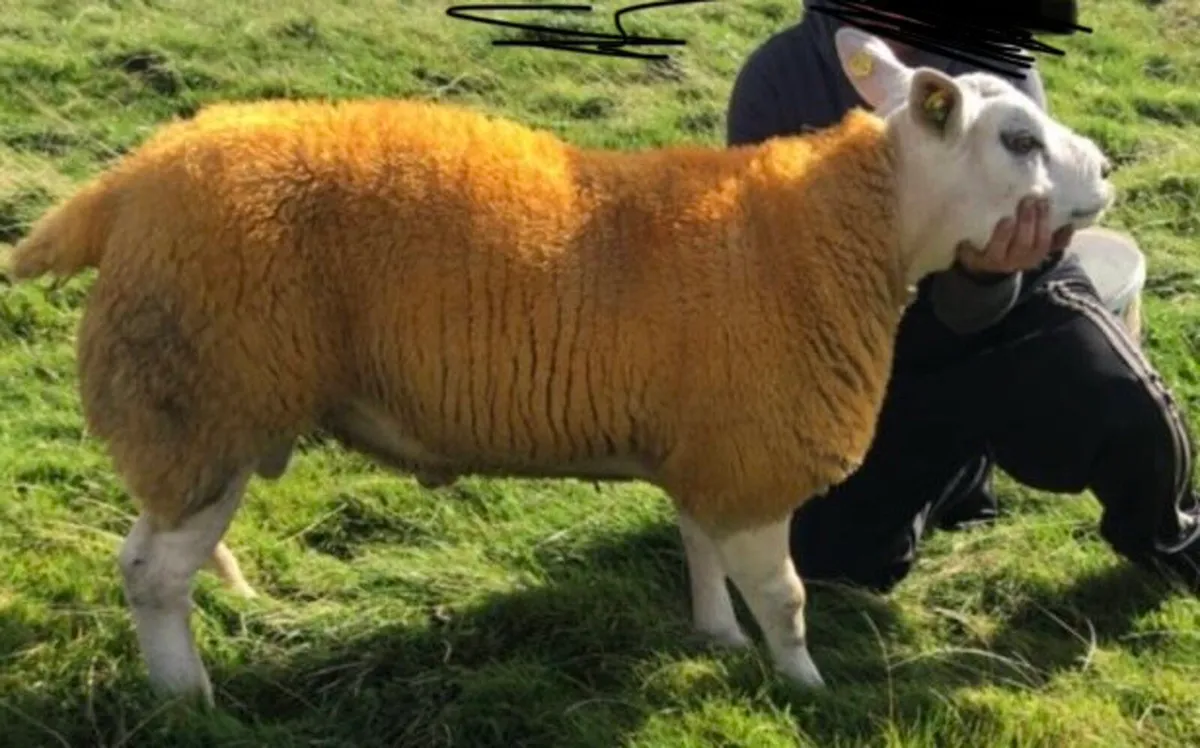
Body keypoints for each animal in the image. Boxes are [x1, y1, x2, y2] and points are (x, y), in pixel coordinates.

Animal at [4, 27, 1114, 706]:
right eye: (1019, 140)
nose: (1104, 172)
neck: (836, 230)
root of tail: (120, 187)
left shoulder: (705, 440)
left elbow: (698, 545)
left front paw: (716, 638)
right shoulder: (753, 451)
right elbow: (788, 596)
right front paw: (803, 686)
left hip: (195, 416)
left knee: (142, 559)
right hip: (205, 401)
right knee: (154, 576)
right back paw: (190, 700)